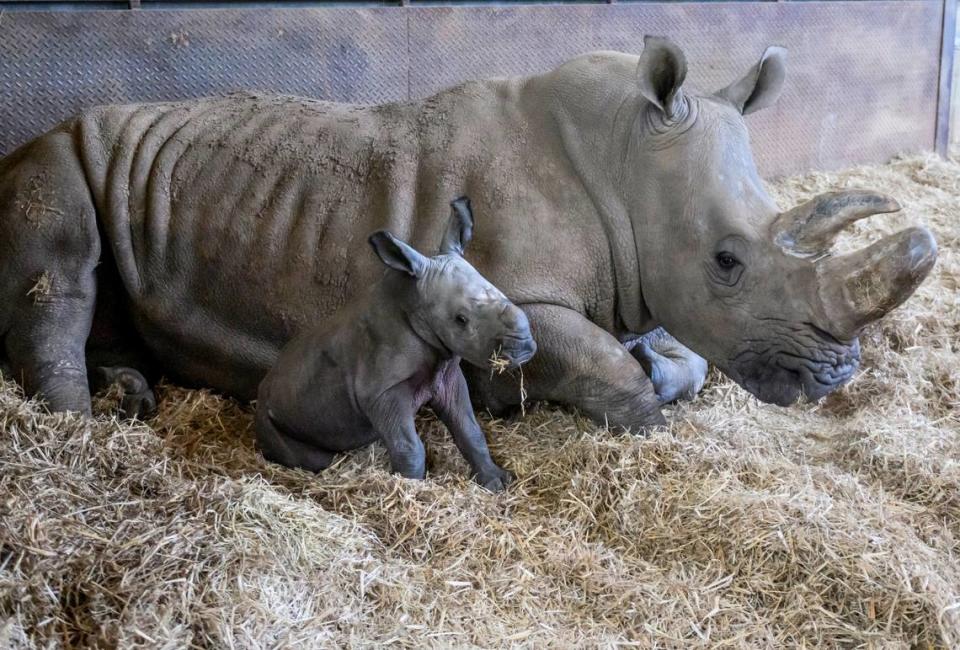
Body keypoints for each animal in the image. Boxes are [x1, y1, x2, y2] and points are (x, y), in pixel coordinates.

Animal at [255, 197, 536, 492]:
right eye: (460, 319)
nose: (524, 347)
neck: (414, 303)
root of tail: (261, 391)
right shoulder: (381, 390)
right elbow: (409, 447)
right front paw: (412, 490)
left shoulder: (447, 374)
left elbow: (470, 431)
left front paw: (497, 482)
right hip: (269, 413)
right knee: (312, 457)